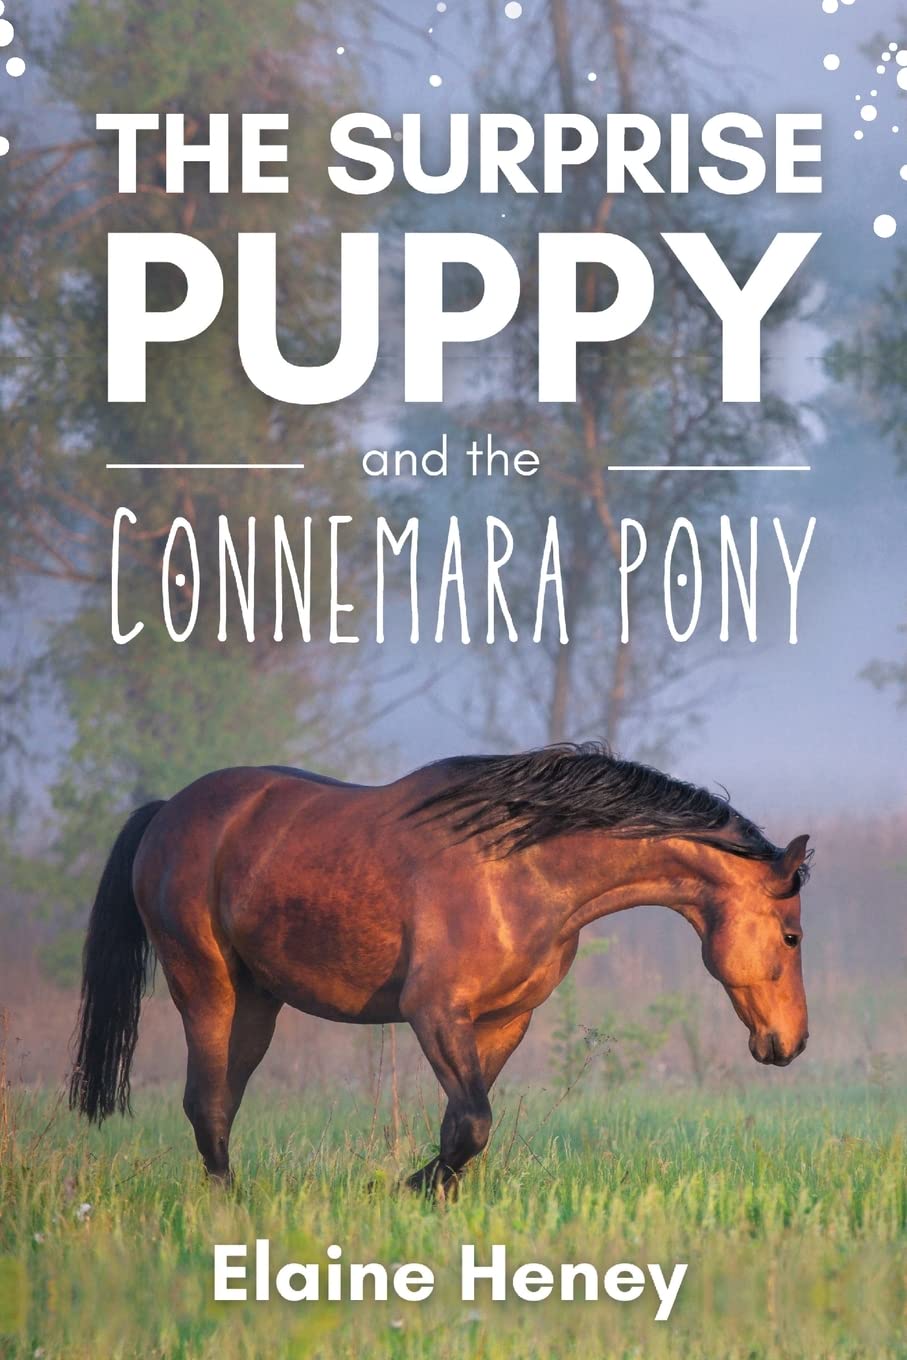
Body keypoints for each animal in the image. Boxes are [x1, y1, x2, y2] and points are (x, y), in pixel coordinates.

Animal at [69, 743, 811, 1194]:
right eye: (791, 935)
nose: (792, 1043)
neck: (520, 868)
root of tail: (167, 814)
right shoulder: (434, 1013)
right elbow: (472, 1123)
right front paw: (397, 1190)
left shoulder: (503, 1020)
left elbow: (462, 1127)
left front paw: (423, 1196)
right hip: (206, 988)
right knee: (207, 1103)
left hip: (256, 1003)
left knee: (219, 1102)